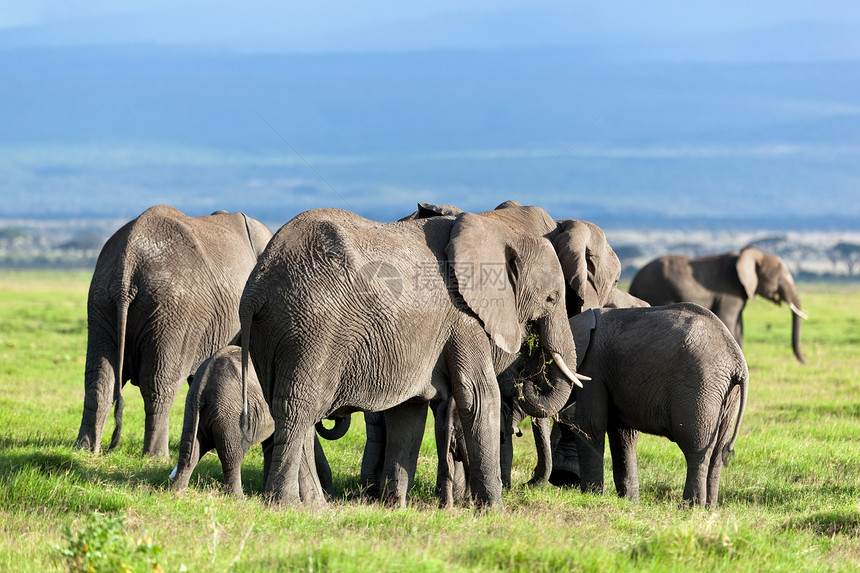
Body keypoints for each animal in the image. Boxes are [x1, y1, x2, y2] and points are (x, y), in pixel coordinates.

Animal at [77, 206, 274, 456]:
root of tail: (128, 265)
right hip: (174, 311)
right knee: (159, 383)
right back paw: (157, 456)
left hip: (102, 299)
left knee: (100, 380)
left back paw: (84, 449)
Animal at [170, 344, 348, 496]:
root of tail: (203, 384)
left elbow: (271, 445)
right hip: (229, 413)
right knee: (231, 455)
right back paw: (237, 498)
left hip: (192, 407)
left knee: (190, 450)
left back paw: (177, 493)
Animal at [242, 204, 584, 504]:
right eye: (552, 299)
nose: (529, 376)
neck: (499, 227)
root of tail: (258, 285)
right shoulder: (464, 318)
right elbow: (479, 397)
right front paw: (494, 510)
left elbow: (409, 411)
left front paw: (396, 506)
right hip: (312, 330)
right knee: (298, 410)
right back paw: (287, 505)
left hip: (272, 334)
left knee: (286, 410)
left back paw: (314, 507)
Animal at [568, 302, 748, 508]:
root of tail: (738, 362)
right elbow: (624, 434)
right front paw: (630, 502)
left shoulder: (592, 366)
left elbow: (589, 424)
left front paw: (591, 496)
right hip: (727, 395)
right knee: (718, 452)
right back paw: (709, 508)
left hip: (700, 387)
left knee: (696, 448)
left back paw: (690, 508)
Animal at [624, 246, 808, 362]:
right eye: (780, 279)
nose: (805, 361)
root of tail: (634, 281)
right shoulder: (729, 291)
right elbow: (728, 320)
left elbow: (739, 324)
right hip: (659, 290)